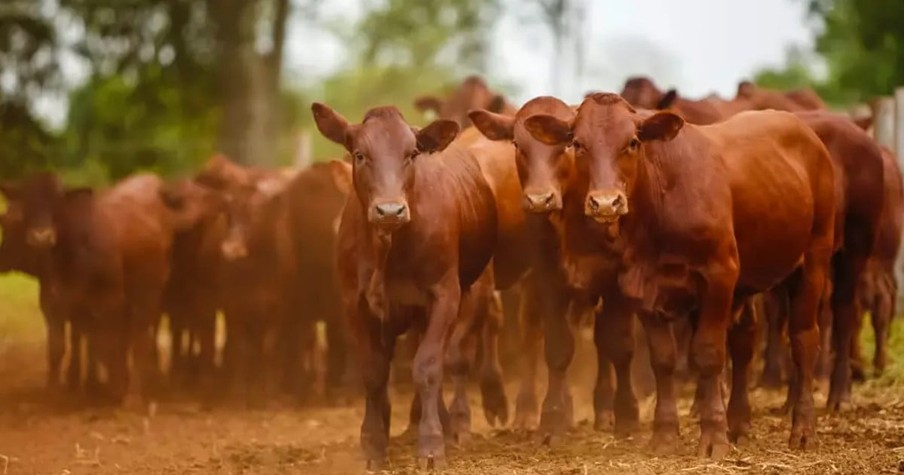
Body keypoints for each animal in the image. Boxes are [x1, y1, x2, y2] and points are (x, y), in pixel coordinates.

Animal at [528, 93, 836, 458]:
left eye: (632, 142)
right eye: (577, 143)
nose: (605, 203)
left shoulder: (719, 275)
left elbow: (708, 354)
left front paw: (713, 437)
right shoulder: (639, 284)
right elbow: (663, 359)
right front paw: (664, 434)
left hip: (814, 260)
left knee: (803, 340)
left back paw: (802, 429)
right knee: (744, 340)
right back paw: (739, 423)